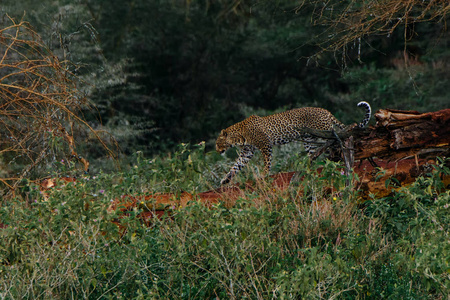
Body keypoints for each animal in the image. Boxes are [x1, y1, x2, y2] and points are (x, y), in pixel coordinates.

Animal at [216, 102, 370, 184]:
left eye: (218, 143)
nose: (217, 151)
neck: (239, 136)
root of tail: (325, 110)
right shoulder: (247, 151)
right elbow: (236, 165)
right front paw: (225, 179)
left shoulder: (265, 145)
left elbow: (267, 161)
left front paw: (264, 174)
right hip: (309, 140)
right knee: (314, 154)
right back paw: (309, 167)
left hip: (325, 133)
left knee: (335, 145)